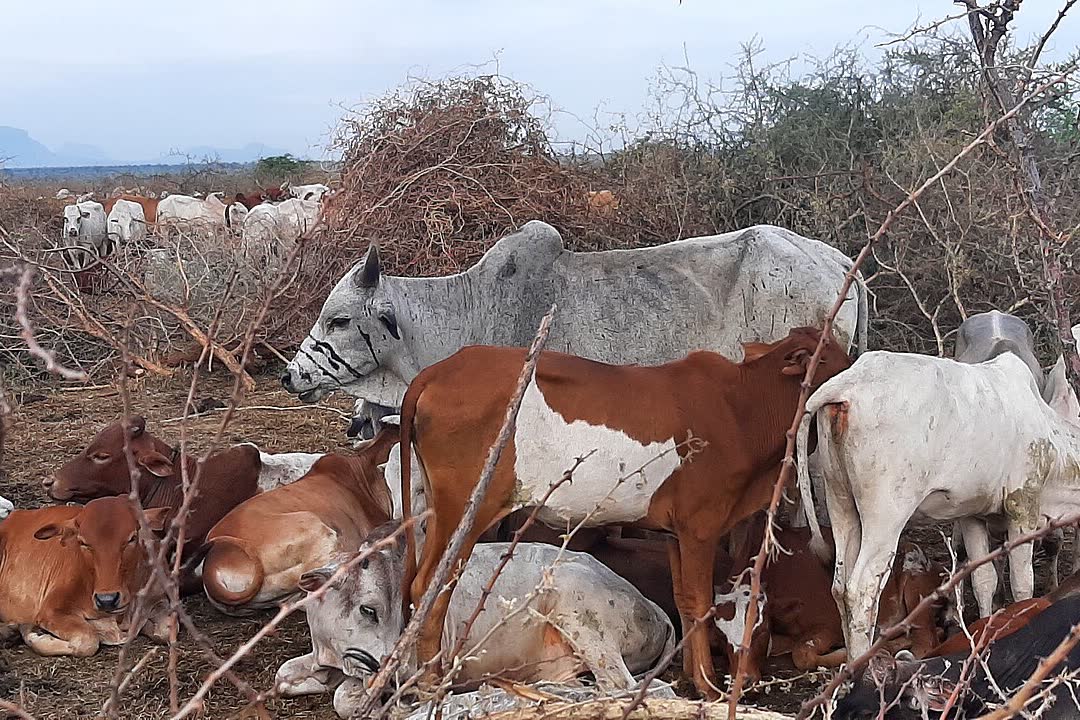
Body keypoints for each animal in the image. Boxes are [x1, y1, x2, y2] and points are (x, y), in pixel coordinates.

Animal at [0, 497, 171, 656]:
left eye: (132, 538)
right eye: (83, 542)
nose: (107, 600)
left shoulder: (159, 598)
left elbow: (165, 631)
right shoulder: (51, 610)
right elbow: (88, 641)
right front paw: (35, 635)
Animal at [275, 530, 674, 718]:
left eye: (403, 611)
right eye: (369, 610)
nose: (392, 669)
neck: (328, 652)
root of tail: (654, 606)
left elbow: (345, 699)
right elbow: (282, 676)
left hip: (584, 618)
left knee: (628, 688)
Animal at [395, 326, 851, 697]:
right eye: (830, 358)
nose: (857, 367)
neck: (743, 409)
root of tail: (439, 371)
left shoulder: (674, 534)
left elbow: (684, 600)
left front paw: (691, 676)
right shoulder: (701, 527)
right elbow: (701, 599)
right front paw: (707, 684)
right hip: (466, 511)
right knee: (431, 585)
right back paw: (431, 680)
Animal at [797, 349, 1080, 661]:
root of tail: (847, 382)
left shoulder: (972, 514)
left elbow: (983, 580)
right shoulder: (1022, 507)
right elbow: (1022, 583)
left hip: (839, 499)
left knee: (839, 585)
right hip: (887, 512)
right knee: (861, 590)